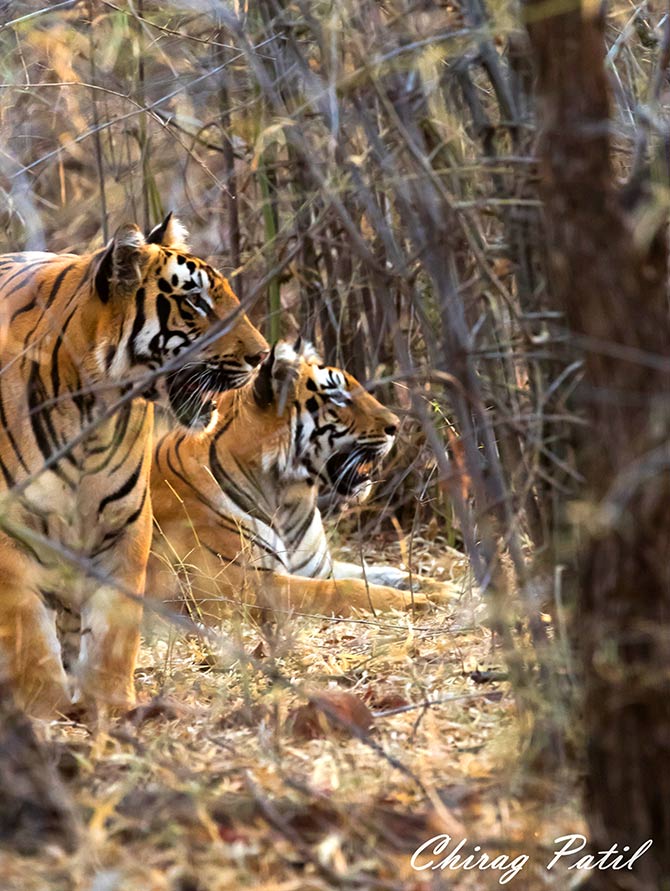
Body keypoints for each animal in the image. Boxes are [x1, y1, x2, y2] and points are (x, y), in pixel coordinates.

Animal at [0, 214, 270, 716]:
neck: (92, 410)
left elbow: (114, 629)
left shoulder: (125, 522)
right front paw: (45, 709)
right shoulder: (10, 528)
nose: (261, 356)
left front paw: (110, 705)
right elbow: (28, 630)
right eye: (195, 301)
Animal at [150, 342, 460, 620]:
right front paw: (421, 601)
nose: (395, 425)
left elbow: (385, 572)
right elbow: (346, 589)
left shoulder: (319, 568)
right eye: (337, 397)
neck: (288, 497)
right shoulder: (240, 583)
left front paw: (446, 589)